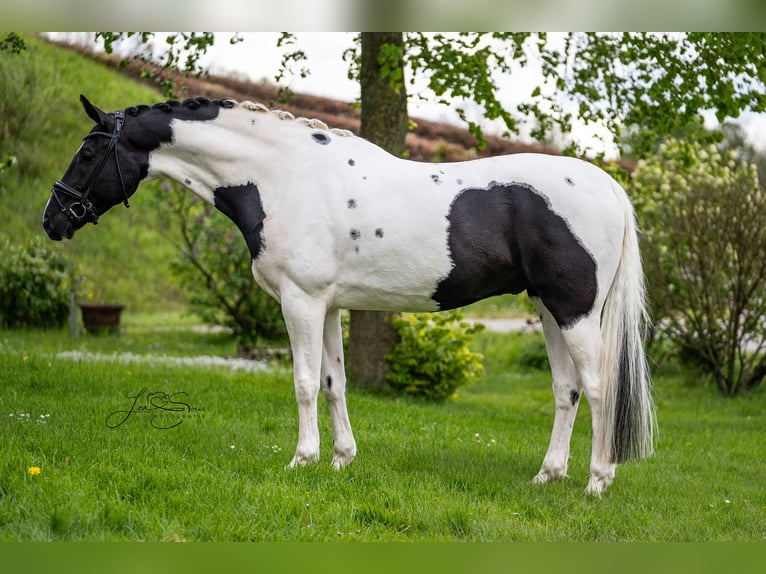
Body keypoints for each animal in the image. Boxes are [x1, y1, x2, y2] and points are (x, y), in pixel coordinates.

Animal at [42, 94, 656, 496]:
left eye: (89, 152)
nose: (52, 219)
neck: (281, 176)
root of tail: (607, 184)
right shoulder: (330, 305)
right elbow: (334, 384)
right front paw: (339, 460)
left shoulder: (300, 302)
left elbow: (304, 383)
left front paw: (301, 460)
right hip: (548, 311)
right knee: (566, 390)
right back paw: (547, 475)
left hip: (575, 313)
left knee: (598, 390)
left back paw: (596, 483)